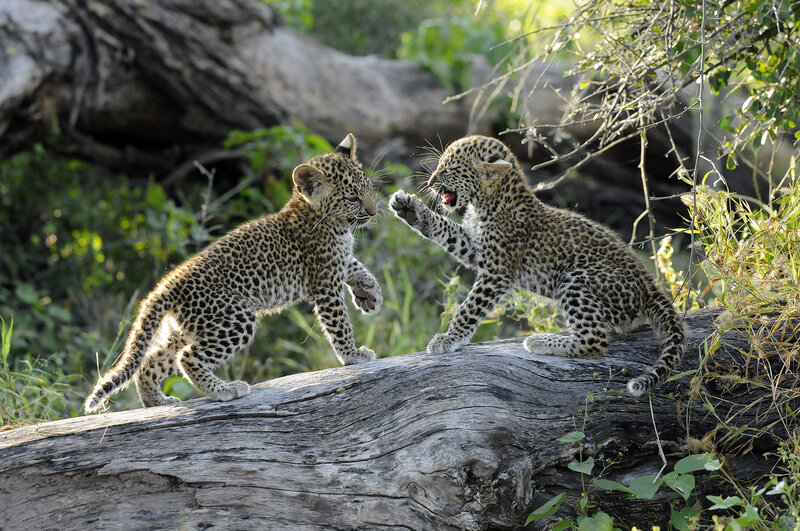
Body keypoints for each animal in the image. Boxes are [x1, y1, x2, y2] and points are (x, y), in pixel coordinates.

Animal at [84, 134, 382, 414]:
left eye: (368, 190)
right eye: (352, 198)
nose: (374, 211)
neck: (328, 220)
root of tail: (166, 285)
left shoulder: (337, 264)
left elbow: (356, 267)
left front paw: (370, 295)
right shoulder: (325, 281)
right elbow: (339, 323)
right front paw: (352, 355)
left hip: (189, 328)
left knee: (151, 361)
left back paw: (156, 400)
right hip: (232, 318)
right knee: (187, 357)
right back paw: (225, 390)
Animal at [390, 134, 685, 396]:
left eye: (449, 169)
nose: (430, 182)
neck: (487, 202)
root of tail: (650, 286)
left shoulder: (497, 270)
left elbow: (469, 308)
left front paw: (449, 339)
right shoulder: (474, 248)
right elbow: (445, 229)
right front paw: (410, 209)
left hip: (577, 279)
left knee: (595, 341)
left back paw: (541, 340)